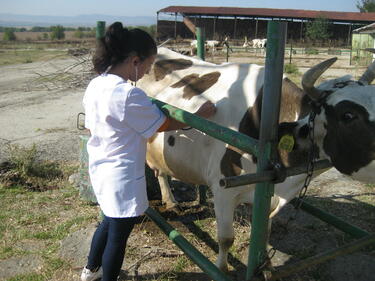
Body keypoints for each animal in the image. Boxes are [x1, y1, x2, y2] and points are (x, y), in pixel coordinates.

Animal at [138, 47, 375, 270]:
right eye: (348, 115)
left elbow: (264, 233)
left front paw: (266, 265)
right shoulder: (223, 189)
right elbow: (226, 239)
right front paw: (222, 269)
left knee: (161, 172)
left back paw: (170, 200)